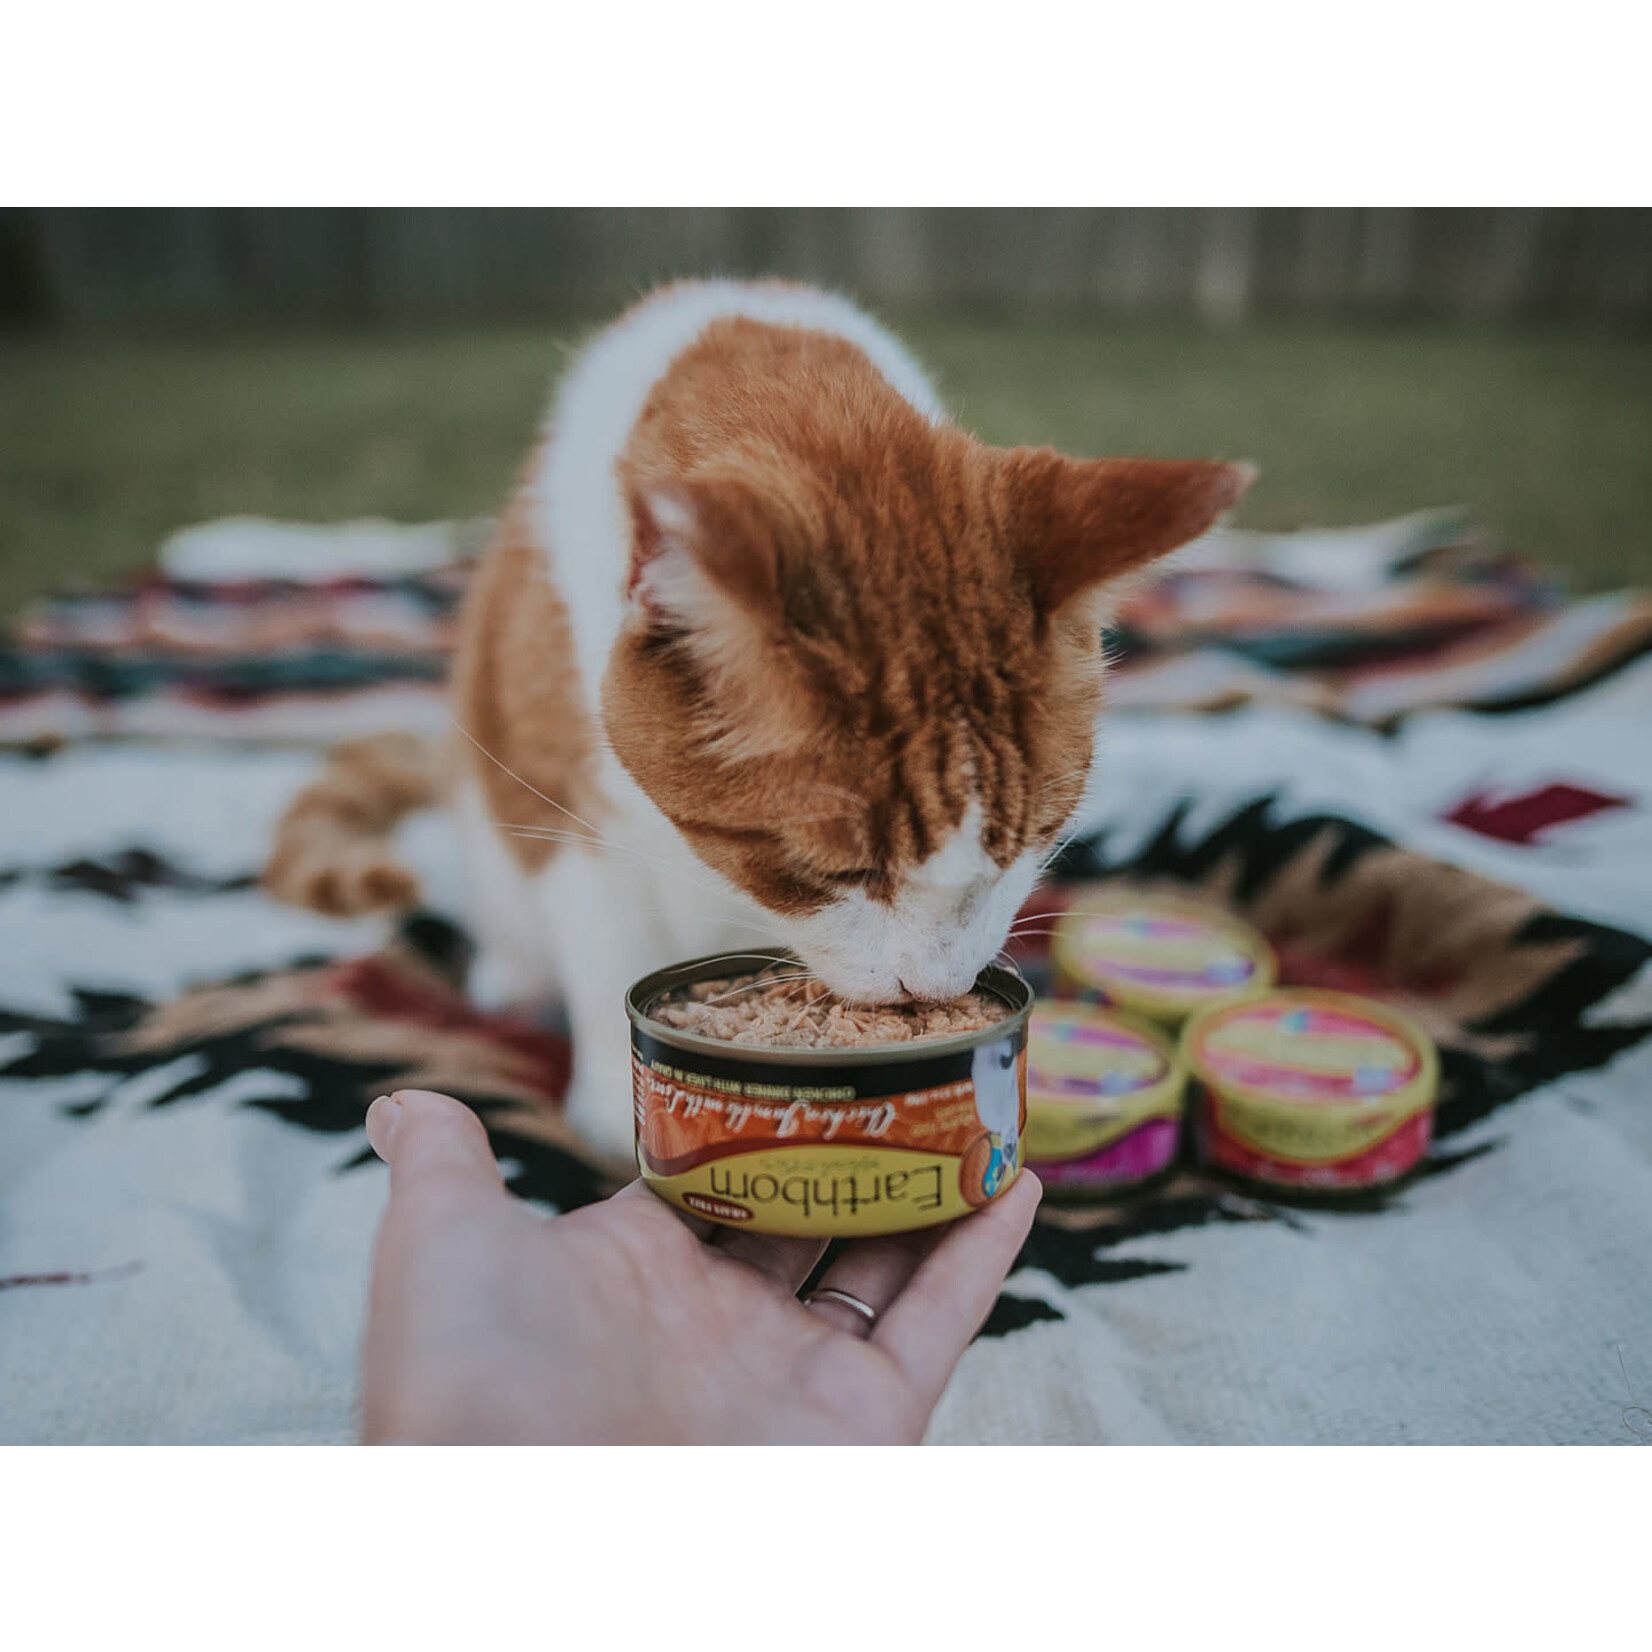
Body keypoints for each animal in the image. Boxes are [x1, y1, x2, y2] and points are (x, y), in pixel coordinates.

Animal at [267, 277, 1248, 1156]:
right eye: (835, 871)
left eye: (1030, 842)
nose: (927, 992)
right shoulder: (559, 803)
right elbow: (603, 944)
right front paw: (616, 1118)